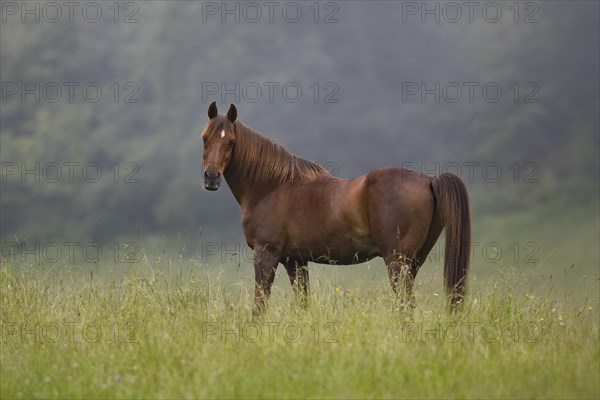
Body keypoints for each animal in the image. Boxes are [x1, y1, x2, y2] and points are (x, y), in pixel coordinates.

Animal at [199, 101, 472, 314]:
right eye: (204, 138)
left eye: (231, 141)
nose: (211, 177)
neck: (272, 186)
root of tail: (428, 180)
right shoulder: (295, 261)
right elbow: (303, 305)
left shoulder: (266, 254)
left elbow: (260, 306)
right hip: (413, 263)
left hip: (397, 262)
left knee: (407, 305)